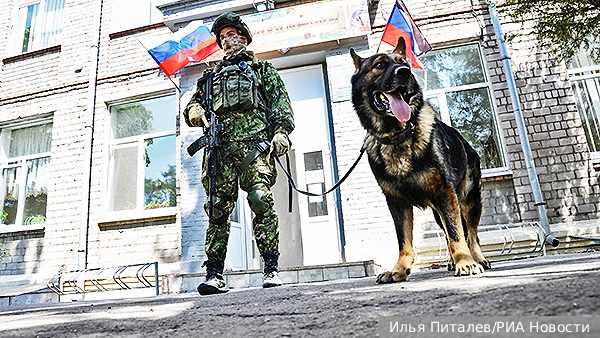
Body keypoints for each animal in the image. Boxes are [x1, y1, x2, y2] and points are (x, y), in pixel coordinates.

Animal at [350, 38, 490, 284]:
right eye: (379, 65)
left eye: (403, 63)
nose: (404, 72)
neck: (397, 136)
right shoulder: (397, 203)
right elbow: (404, 241)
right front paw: (399, 269)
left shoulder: (446, 193)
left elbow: (457, 232)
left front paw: (465, 262)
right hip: (439, 210)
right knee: (449, 231)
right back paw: (452, 261)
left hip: (467, 201)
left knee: (471, 234)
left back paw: (477, 259)